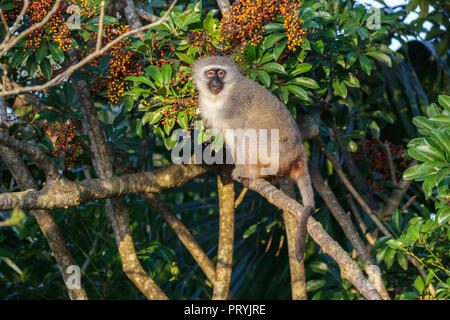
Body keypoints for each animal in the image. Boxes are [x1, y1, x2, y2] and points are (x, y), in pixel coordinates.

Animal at [193, 55, 316, 262]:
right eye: (210, 73)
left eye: (221, 73)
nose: (216, 82)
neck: (219, 97)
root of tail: (299, 155)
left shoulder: (233, 105)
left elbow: (240, 133)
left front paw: (243, 169)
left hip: (276, 152)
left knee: (251, 130)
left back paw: (253, 173)